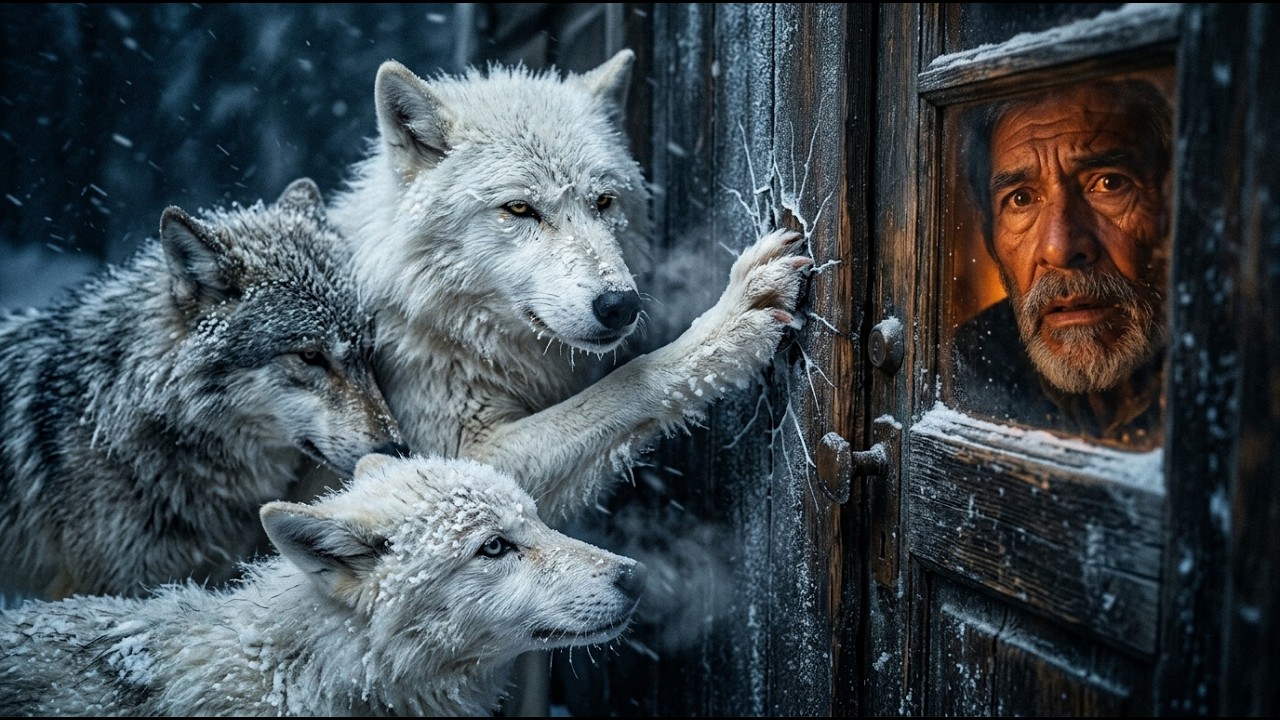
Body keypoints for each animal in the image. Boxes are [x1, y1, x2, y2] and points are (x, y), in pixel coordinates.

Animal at [324, 48, 811, 527]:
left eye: (604, 202)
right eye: (520, 208)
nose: (621, 305)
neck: (451, 332)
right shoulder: (465, 453)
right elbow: (625, 381)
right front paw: (731, 320)